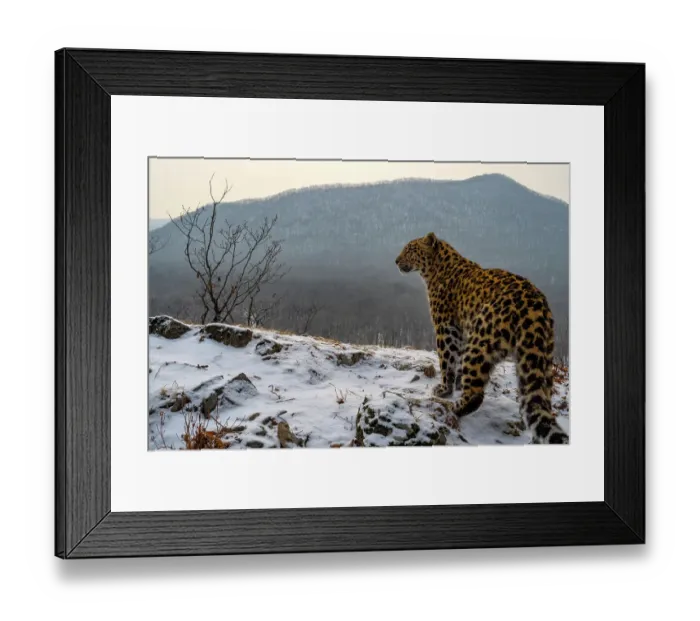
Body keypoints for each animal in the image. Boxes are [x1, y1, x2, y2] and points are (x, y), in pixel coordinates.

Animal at [395, 232, 569, 445]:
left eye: (410, 249)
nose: (396, 261)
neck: (434, 270)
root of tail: (535, 308)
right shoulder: (461, 331)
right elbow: (457, 362)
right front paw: (457, 383)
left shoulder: (446, 328)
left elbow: (447, 360)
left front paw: (445, 389)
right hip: (540, 356)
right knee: (540, 402)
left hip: (481, 341)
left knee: (476, 395)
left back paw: (448, 406)